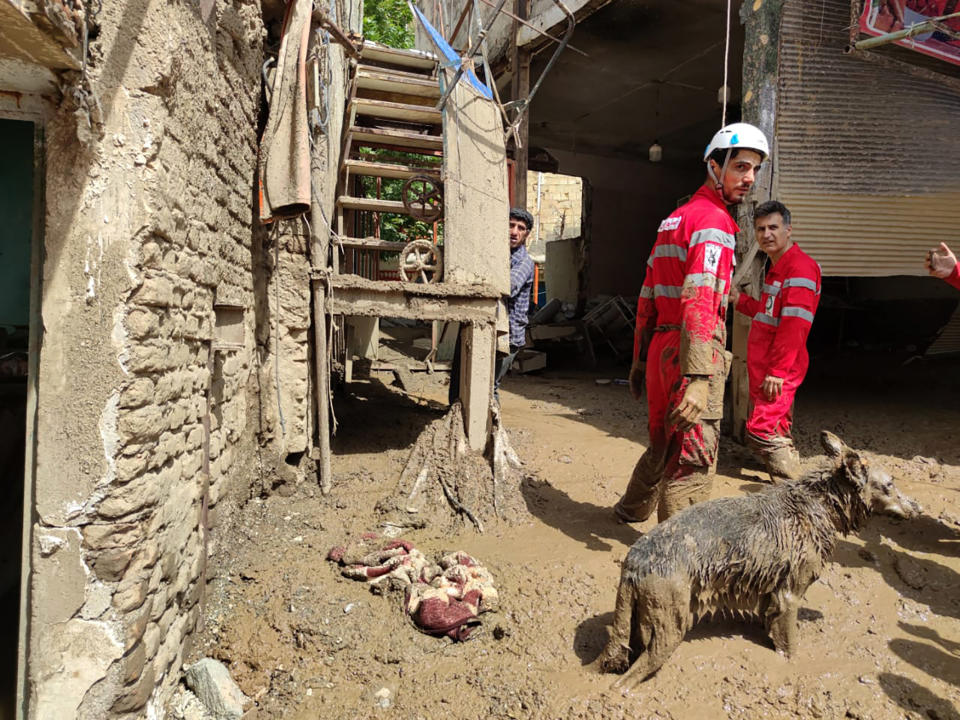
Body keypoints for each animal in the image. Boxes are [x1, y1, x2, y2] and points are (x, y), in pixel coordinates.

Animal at [600, 430, 924, 688]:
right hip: (669, 627)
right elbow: (790, 646)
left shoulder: (771, 593)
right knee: (625, 681)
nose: (918, 508)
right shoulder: (790, 594)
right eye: (889, 485)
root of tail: (632, 564)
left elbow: (771, 624)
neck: (819, 505)